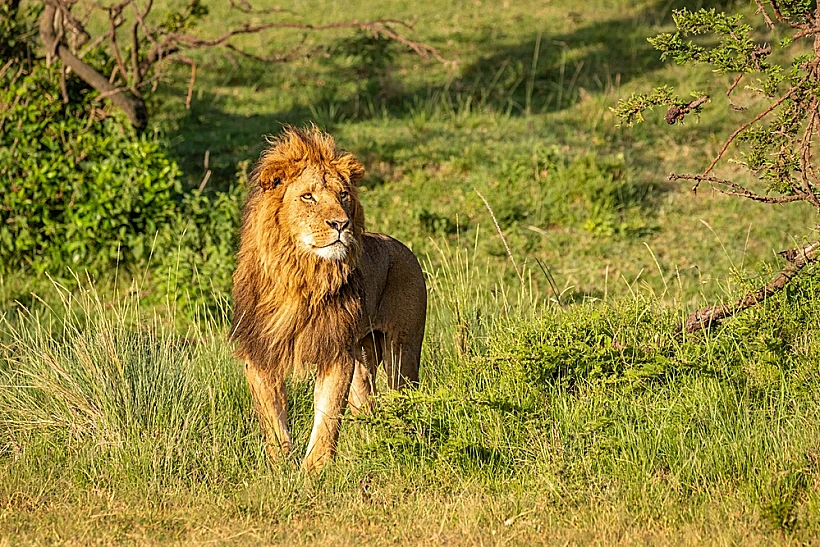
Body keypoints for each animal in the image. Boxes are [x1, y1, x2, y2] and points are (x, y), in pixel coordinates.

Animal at [231, 126, 427, 473]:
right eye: (308, 196)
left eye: (343, 195)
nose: (340, 224)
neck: (300, 276)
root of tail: (402, 246)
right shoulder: (260, 353)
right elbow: (273, 419)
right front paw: (281, 469)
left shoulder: (336, 353)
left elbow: (328, 416)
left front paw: (314, 471)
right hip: (363, 355)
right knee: (366, 404)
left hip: (402, 351)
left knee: (402, 396)